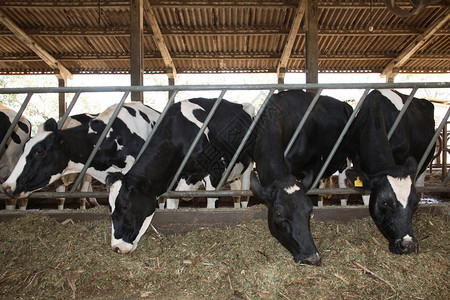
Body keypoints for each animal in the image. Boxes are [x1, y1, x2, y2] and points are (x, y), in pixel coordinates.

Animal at [105, 98, 253, 255]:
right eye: (110, 207)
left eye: (125, 206)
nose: (117, 247)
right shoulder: (172, 182)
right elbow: (171, 207)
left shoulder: (214, 171)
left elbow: (211, 206)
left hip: (248, 163)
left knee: (245, 192)